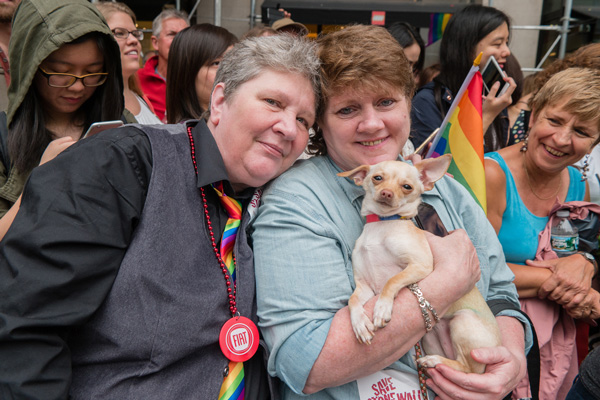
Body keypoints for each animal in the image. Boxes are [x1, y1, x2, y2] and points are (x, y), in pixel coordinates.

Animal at [338, 155, 502, 374]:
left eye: (407, 186)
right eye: (377, 178)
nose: (386, 193)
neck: (382, 225)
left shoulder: (420, 265)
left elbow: (392, 280)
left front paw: (382, 307)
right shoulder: (364, 285)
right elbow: (352, 300)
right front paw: (360, 324)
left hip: (463, 320)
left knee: (467, 368)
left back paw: (433, 361)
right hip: (429, 337)